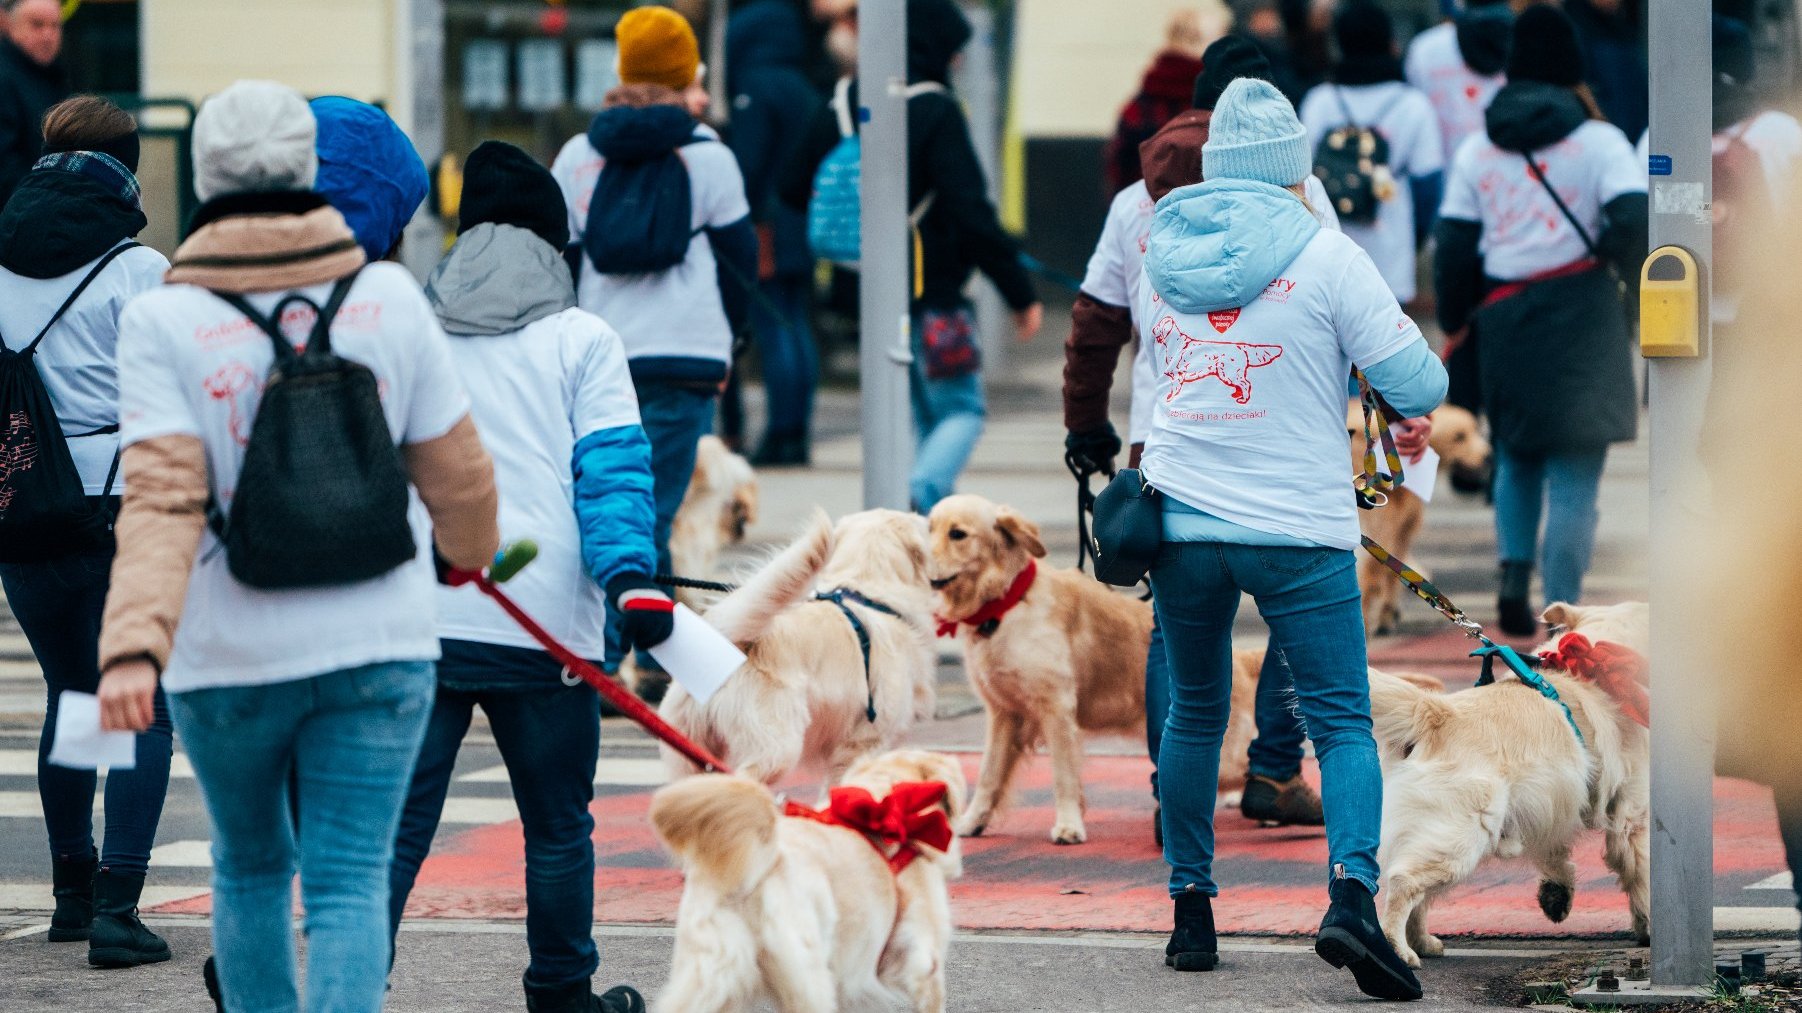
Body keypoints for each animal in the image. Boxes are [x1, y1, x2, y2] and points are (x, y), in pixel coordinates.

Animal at [1355, 400, 1492, 630]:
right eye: (1459, 436)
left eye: (1475, 429)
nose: (1489, 455)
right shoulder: (1402, 527)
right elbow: (1387, 576)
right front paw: (1386, 615)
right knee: (1371, 579)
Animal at [1362, 598, 1650, 958]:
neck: (1592, 672)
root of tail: (1435, 712)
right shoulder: (1630, 812)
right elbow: (1642, 873)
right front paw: (1649, 926)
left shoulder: (1554, 803)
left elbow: (1555, 853)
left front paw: (1557, 894)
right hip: (1459, 837)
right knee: (1404, 882)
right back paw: (1398, 949)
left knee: (1418, 894)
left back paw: (1423, 942)